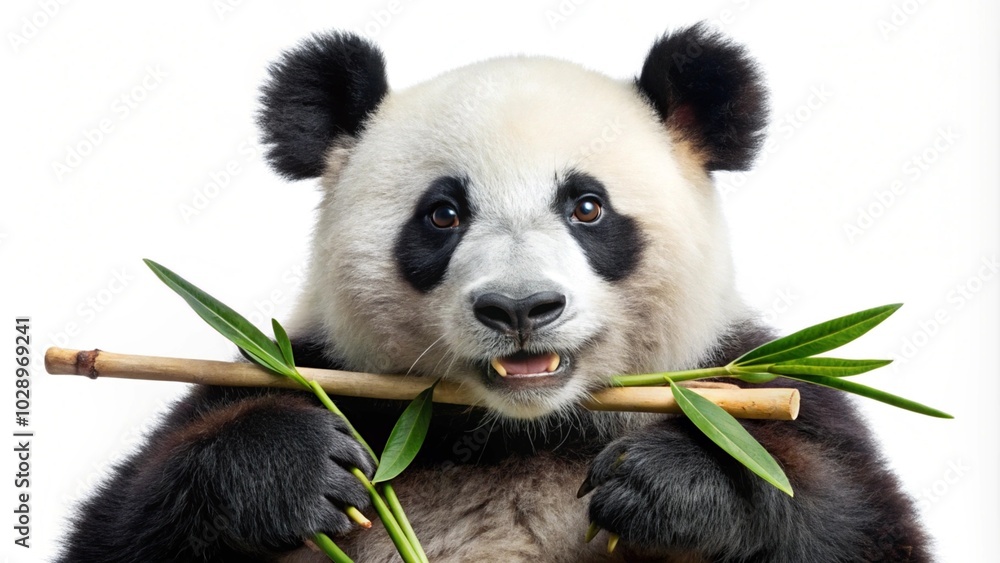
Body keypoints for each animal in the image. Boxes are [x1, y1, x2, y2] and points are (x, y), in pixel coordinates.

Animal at [60, 24, 931, 563]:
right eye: (443, 214)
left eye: (587, 206)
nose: (519, 309)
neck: (518, 432)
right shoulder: (309, 368)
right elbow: (119, 525)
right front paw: (299, 468)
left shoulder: (748, 376)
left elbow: (846, 512)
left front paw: (668, 480)